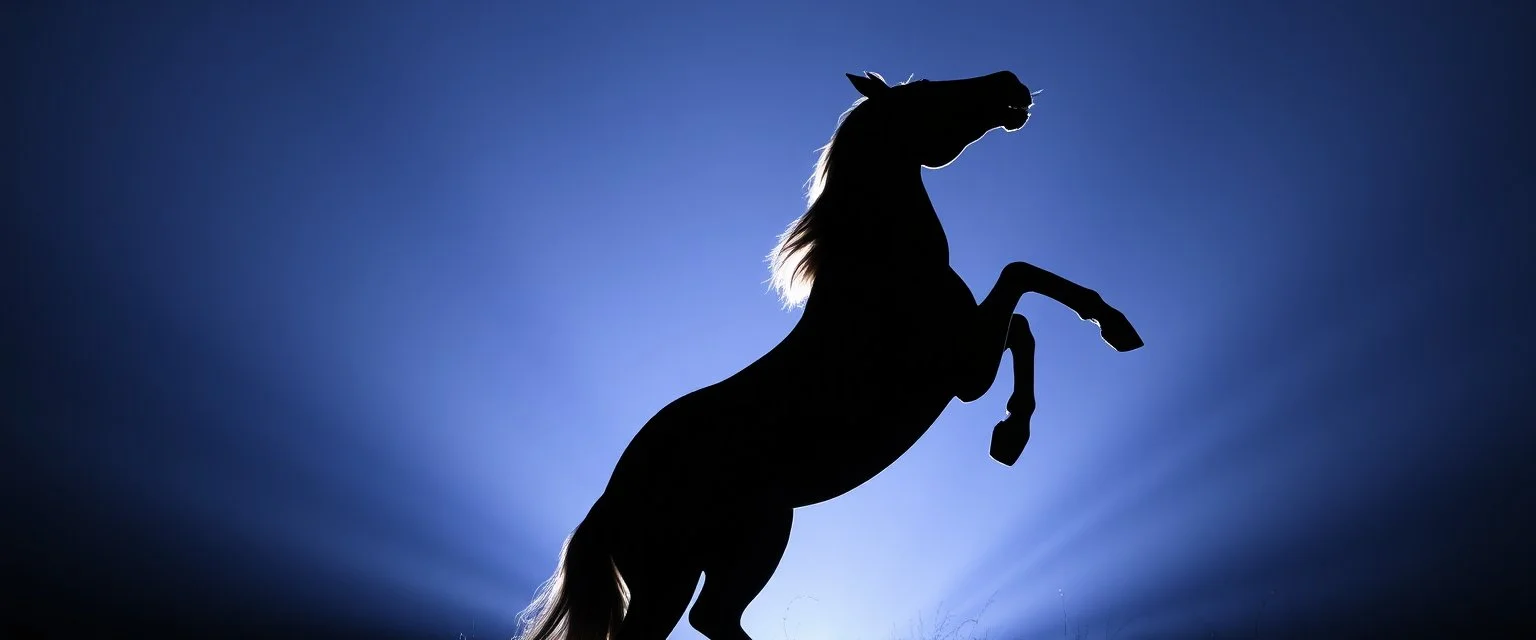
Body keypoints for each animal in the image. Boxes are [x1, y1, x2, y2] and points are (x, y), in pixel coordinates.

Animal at [514, 70, 1143, 640]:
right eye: (926, 91)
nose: (1011, 85)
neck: (881, 270)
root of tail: (607, 501)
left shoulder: (972, 360)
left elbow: (1023, 322)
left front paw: (1011, 435)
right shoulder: (967, 371)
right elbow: (1022, 281)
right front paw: (1109, 331)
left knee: (713, 618)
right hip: (713, 556)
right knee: (702, 619)